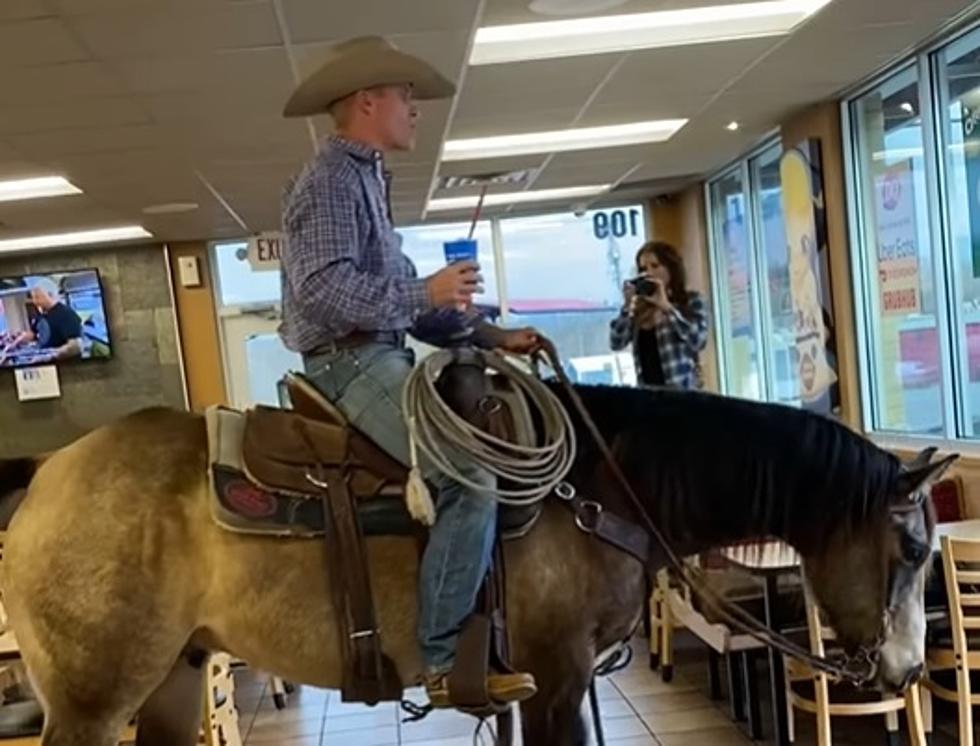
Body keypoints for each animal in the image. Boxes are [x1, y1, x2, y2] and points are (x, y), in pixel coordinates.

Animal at [0, 378, 952, 744]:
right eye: (911, 546)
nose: (907, 671)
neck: (600, 485)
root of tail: (44, 479)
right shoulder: (558, 677)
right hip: (93, 700)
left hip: (173, 677)